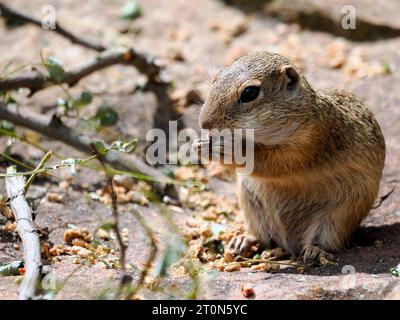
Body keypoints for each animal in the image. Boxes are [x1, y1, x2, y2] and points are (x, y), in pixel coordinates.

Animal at [196, 52, 384, 262]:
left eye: (250, 93)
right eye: (216, 77)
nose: (204, 123)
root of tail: (289, 244)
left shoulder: (308, 144)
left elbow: (270, 163)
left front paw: (223, 149)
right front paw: (200, 145)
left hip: (338, 217)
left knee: (327, 241)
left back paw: (314, 251)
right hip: (250, 203)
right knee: (263, 237)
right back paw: (242, 240)